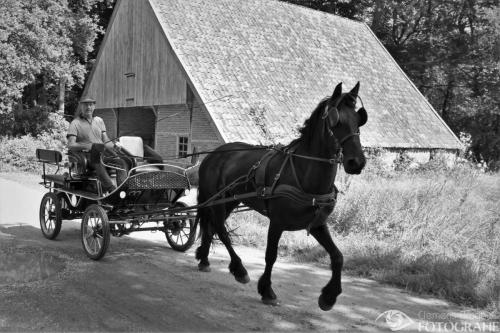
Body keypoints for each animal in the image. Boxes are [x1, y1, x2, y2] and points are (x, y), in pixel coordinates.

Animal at [195, 81, 368, 310]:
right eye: (335, 119)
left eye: (359, 119)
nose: (357, 162)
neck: (304, 174)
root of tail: (213, 155)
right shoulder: (276, 222)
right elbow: (271, 256)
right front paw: (267, 290)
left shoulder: (317, 224)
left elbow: (338, 256)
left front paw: (329, 297)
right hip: (216, 201)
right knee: (221, 231)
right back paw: (239, 269)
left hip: (230, 201)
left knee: (213, 226)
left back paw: (204, 259)